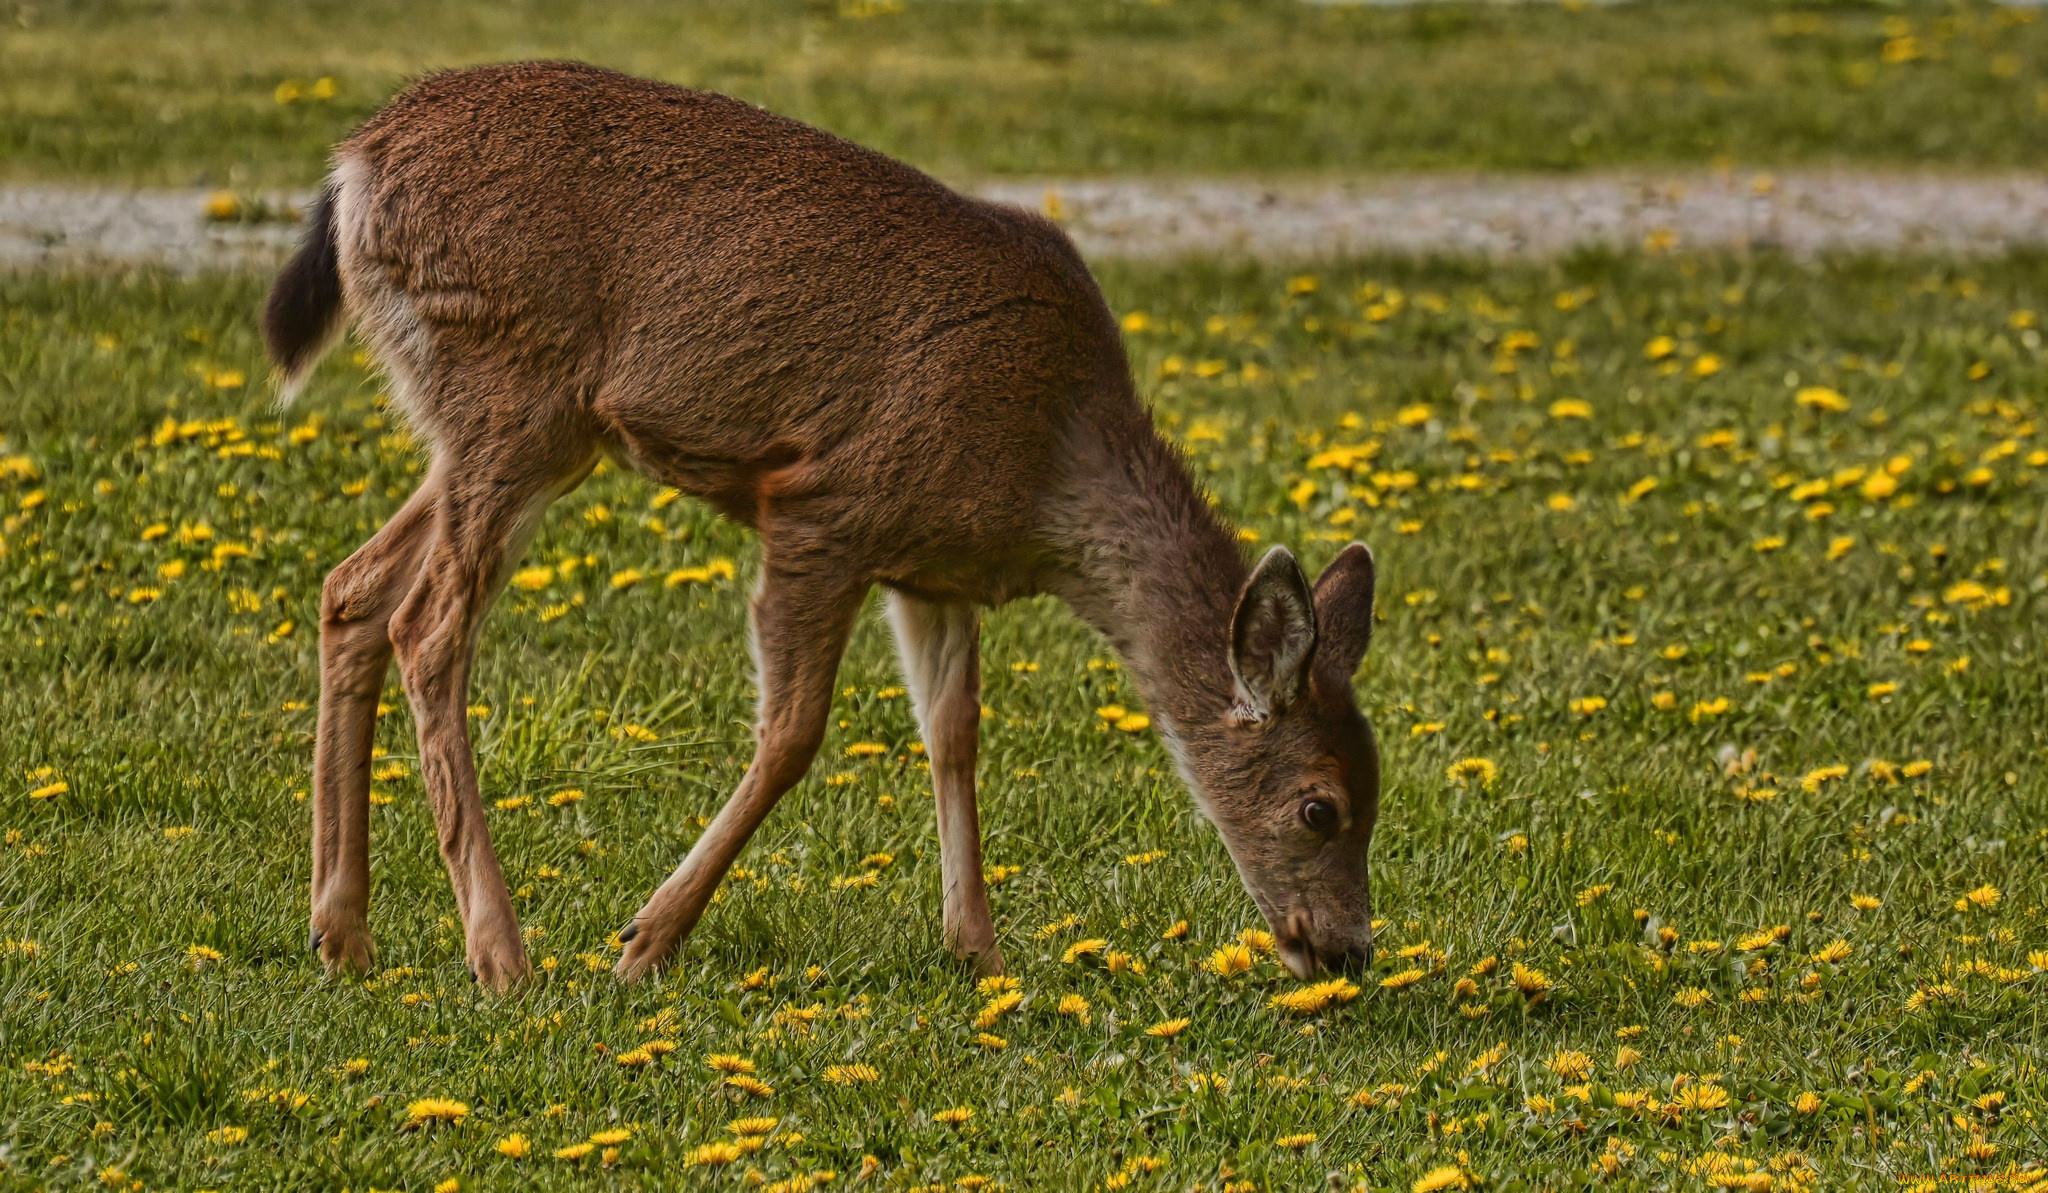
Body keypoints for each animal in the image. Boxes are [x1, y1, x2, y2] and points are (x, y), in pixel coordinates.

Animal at [256, 60, 1376, 994]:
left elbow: (954, 733)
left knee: (353, 588)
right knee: (428, 626)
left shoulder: (933, 567)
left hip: (494, 422)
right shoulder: (826, 506)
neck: (1048, 467)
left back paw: (342, 934)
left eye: (1377, 789)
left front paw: (978, 950)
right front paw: (646, 938)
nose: (1349, 949)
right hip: (508, 381)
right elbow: (793, 734)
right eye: (1319, 804)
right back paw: (500, 952)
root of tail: (355, 165)